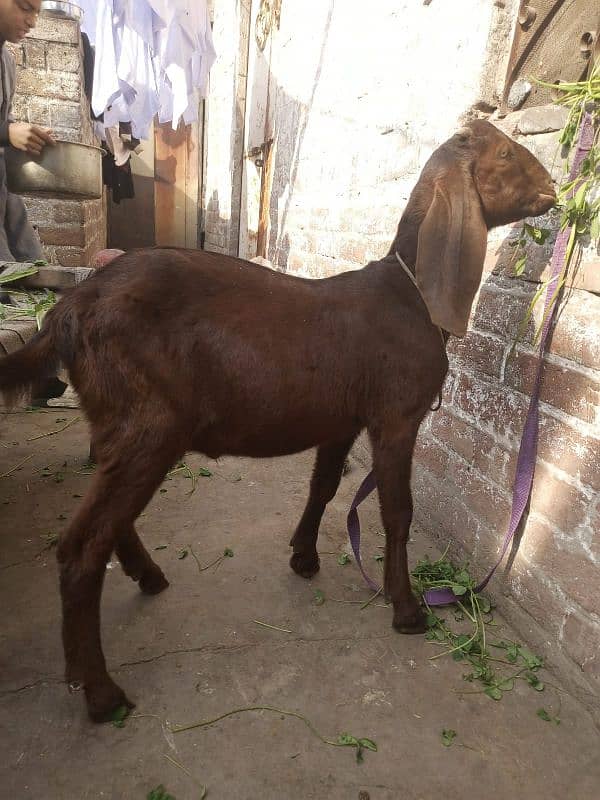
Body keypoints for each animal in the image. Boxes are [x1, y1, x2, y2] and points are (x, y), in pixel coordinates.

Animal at [0, 117, 556, 720]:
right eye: (506, 154)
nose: (553, 187)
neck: (410, 295)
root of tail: (69, 309)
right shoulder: (396, 416)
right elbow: (396, 511)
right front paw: (406, 609)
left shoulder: (342, 420)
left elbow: (324, 486)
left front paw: (304, 556)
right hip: (149, 426)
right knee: (81, 547)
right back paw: (102, 693)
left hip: (115, 424)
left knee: (109, 520)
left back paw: (147, 582)